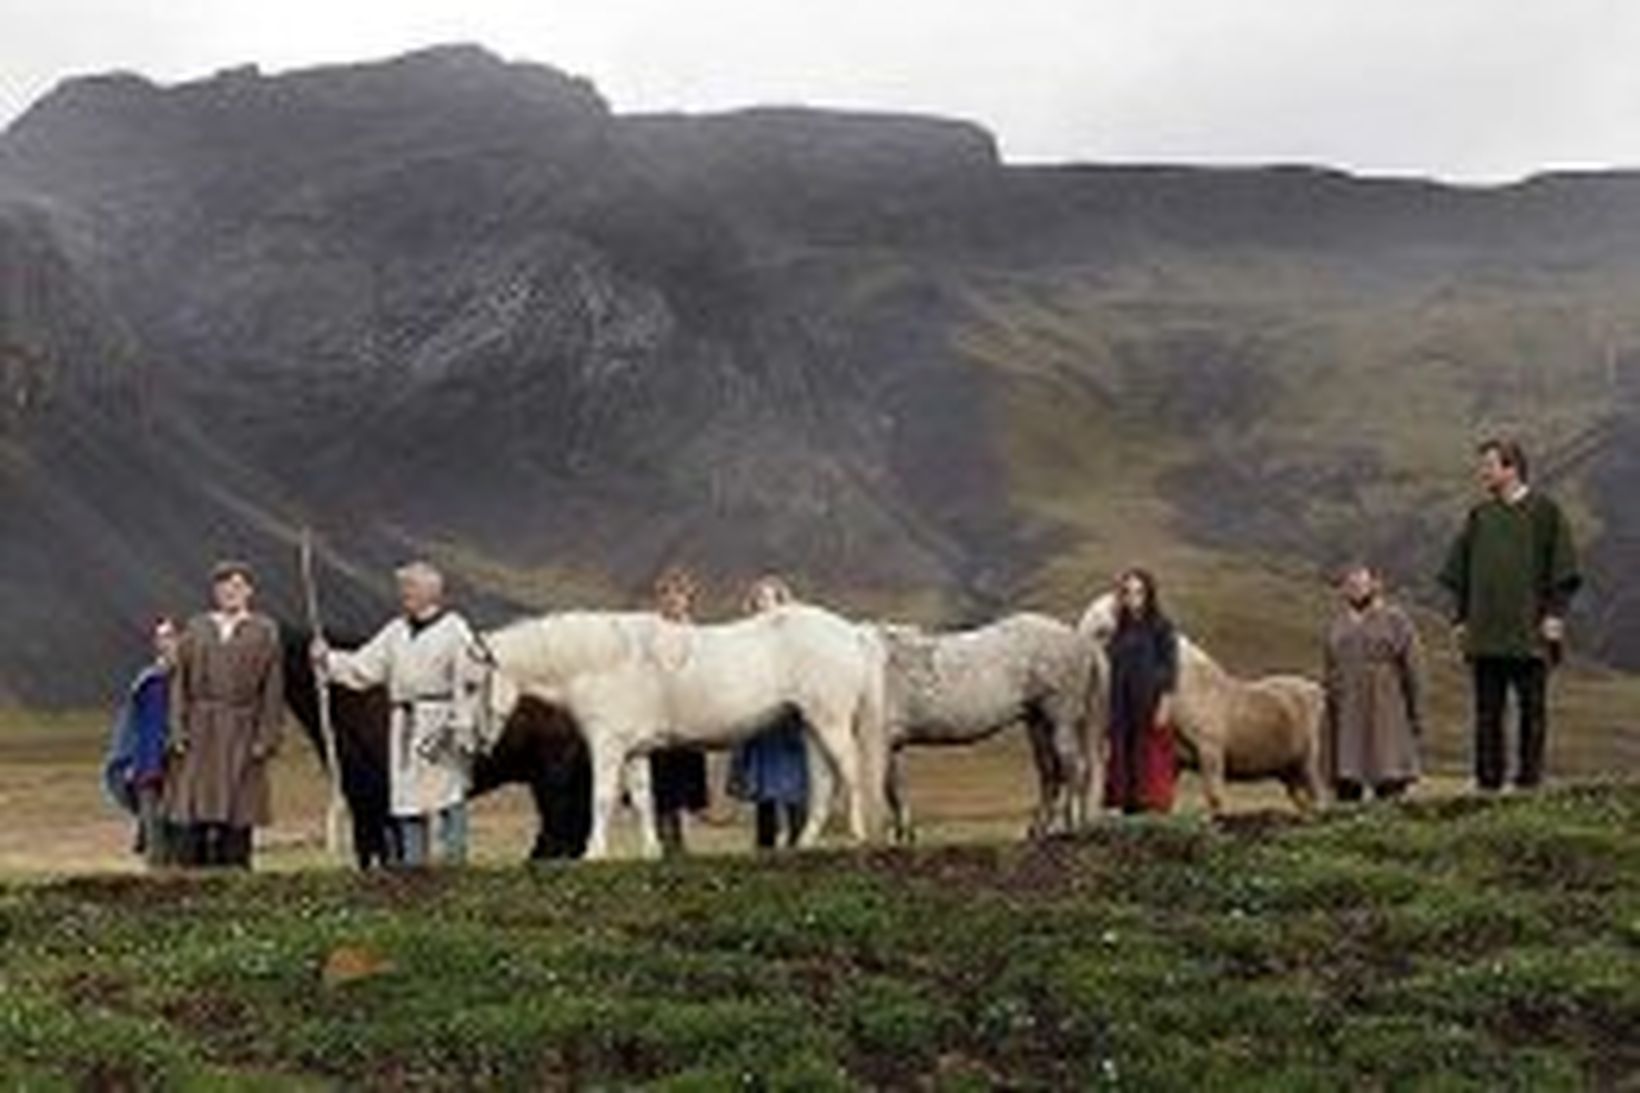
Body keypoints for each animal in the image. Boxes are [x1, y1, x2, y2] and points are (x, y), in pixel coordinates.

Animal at [280, 626, 590, 866]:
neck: (346, 703)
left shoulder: (380, 795)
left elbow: (388, 850)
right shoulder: (361, 795)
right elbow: (371, 851)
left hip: (555, 776)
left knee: (559, 830)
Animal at [462, 600, 892, 853]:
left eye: (469, 685)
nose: (473, 744)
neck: (597, 662)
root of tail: (852, 633)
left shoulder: (608, 747)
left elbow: (602, 798)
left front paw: (592, 853)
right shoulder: (634, 751)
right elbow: (643, 799)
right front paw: (651, 851)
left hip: (830, 722)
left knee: (850, 773)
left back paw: (857, 836)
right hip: (811, 726)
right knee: (823, 782)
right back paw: (805, 843)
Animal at [859, 607, 1102, 836]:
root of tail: (1079, 640)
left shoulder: (883, 742)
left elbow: (888, 788)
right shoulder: (892, 745)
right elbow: (894, 788)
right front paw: (904, 834)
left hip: (1060, 721)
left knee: (1073, 768)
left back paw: (1071, 827)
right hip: (1039, 723)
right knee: (1050, 773)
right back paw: (1039, 829)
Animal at [1082, 590, 1325, 814]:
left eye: (1101, 627)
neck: (1189, 693)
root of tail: (1315, 690)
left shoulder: (1211, 752)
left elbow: (1214, 797)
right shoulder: (1175, 763)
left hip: (1307, 762)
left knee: (1317, 795)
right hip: (1288, 771)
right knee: (1303, 801)